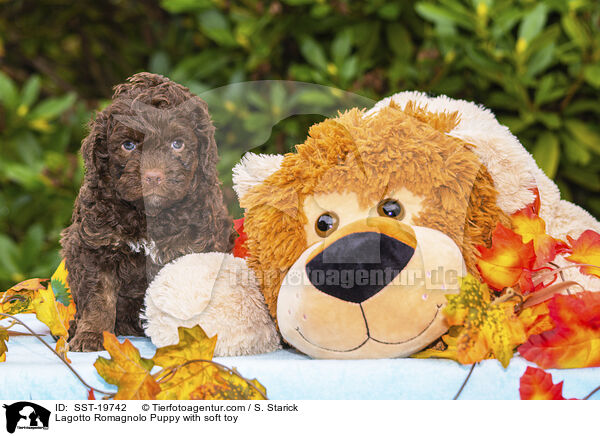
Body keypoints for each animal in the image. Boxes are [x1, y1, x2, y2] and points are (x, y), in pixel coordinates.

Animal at [61, 71, 232, 350]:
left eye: (177, 144)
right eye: (128, 145)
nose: (152, 176)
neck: (146, 215)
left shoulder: (192, 246)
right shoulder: (96, 245)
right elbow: (99, 299)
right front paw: (92, 335)